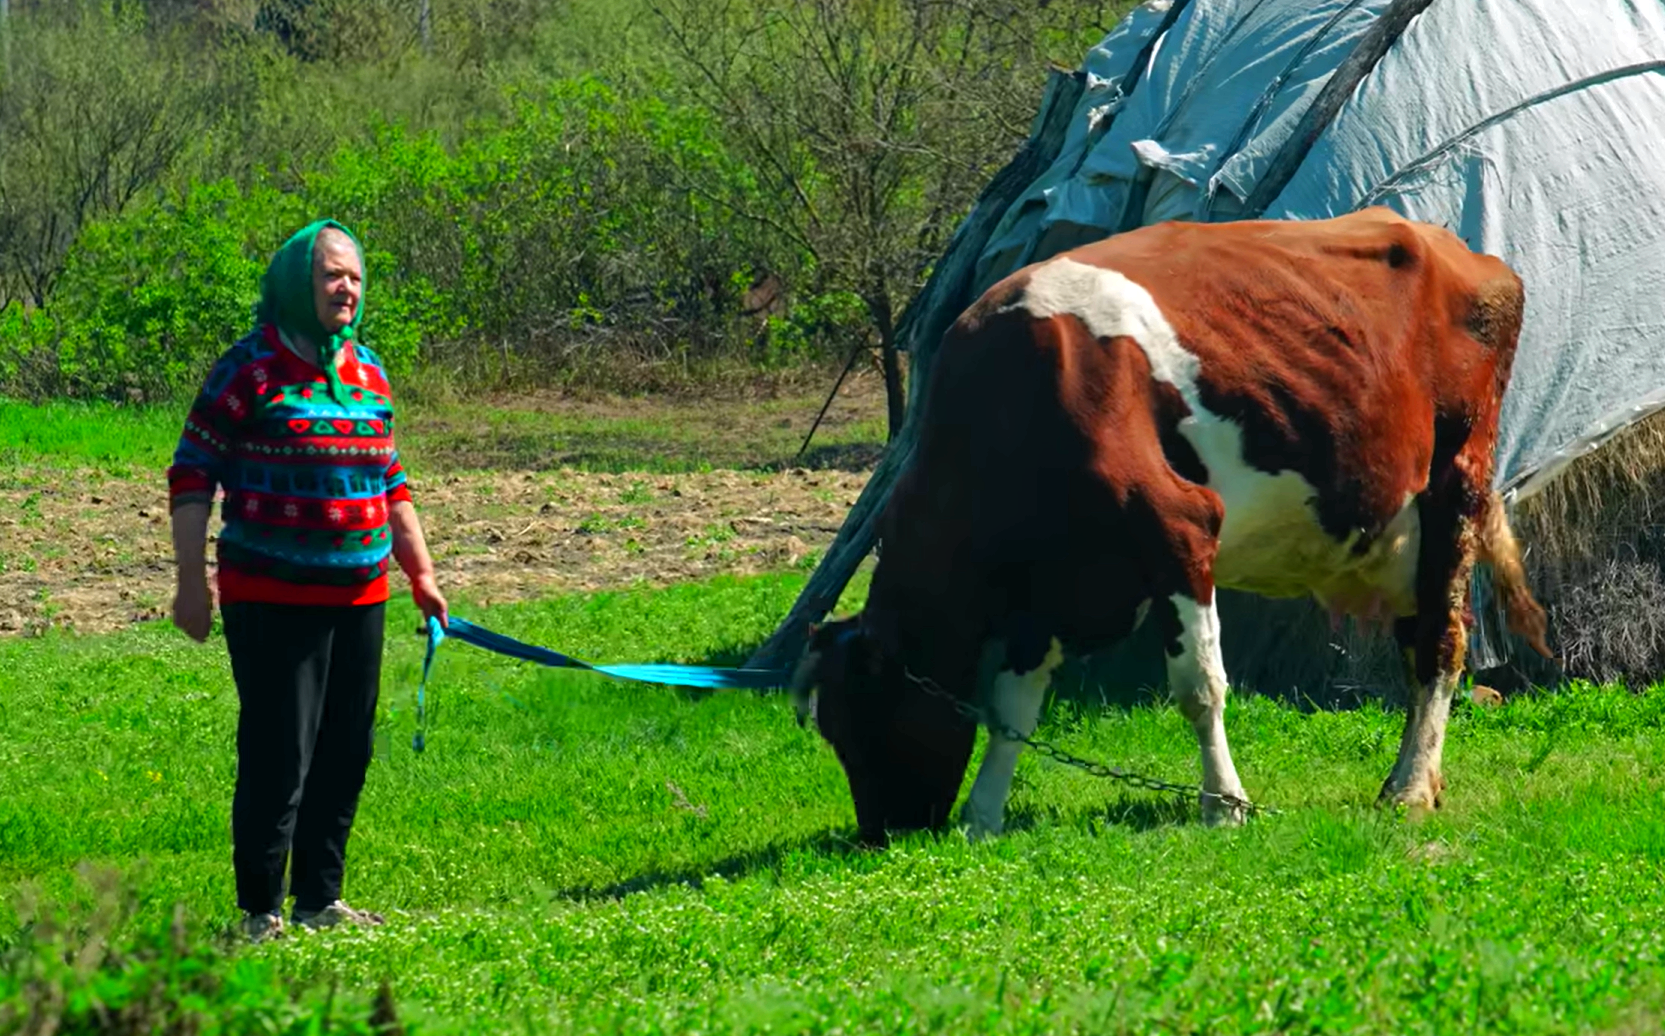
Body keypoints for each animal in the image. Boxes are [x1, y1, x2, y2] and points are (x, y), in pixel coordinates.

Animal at [788, 207, 1552, 845]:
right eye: (831, 732)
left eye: (869, 718)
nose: (880, 833)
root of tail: (1458, 248)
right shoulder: (1043, 592)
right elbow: (1012, 708)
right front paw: (983, 815)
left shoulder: (1179, 530)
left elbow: (1199, 687)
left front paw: (1224, 805)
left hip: (1455, 482)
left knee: (1439, 643)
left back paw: (1408, 788)